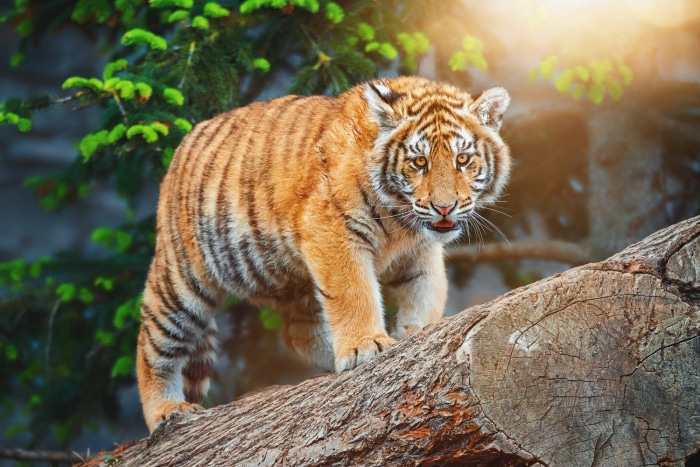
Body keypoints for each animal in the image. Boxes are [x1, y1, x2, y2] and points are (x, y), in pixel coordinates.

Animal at [136, 76, 511, 432]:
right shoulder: (332, 230)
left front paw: (414, 333)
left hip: (291, 279)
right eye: (419, 162)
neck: (402, 223)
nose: (444, 208)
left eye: (463, 159)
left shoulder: (420, 253)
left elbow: (426, 292)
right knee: (151, 345)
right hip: (181, 282)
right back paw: (166, 411)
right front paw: (365, 346)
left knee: (297, 334)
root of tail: (185, 142)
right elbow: (354, 293)